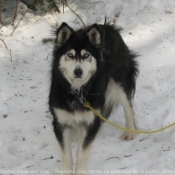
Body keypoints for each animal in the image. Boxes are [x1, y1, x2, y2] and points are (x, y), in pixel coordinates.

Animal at [49, 22, 138, 174]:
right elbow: (66, 155)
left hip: (119, 83)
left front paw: (80, 171)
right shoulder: (60, 121)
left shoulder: (90, 121)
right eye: (70, 55)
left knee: (128, 107)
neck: (77, 92)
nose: (78, 71)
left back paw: (130, 131)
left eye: (86, 55)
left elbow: (82, 152)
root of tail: (108, 26)